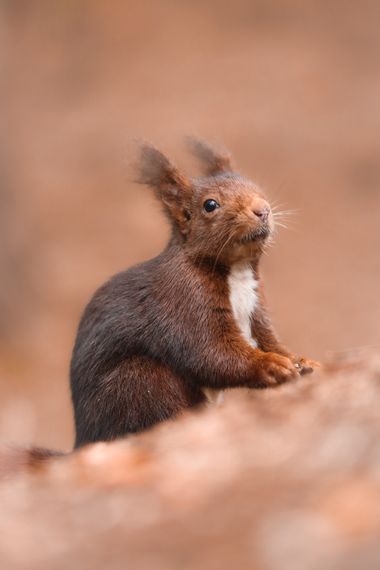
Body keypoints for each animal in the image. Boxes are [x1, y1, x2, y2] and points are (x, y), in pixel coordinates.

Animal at [0, 138, 320, 470]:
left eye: (255, 185)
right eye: (210, 205)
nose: (263, 210)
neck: (237, 272)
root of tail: (84, 442)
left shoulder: (256, 310)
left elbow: (270, 340)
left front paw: (302, 360)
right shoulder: (184, 303)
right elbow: (212, 353)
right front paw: (271, 366)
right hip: (140, 382)